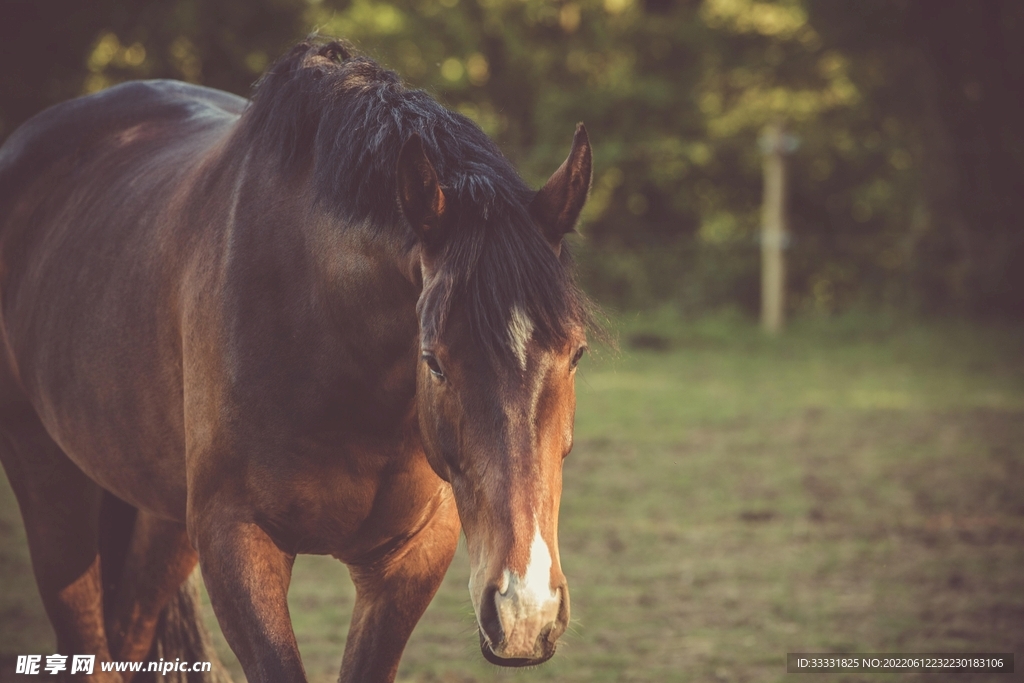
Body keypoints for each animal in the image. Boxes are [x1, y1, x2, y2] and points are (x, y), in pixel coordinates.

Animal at [0, 38, 593, 683]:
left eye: (576, 353)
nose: (524, 611)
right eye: (433, 360)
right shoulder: (237, 545)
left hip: (162, 520)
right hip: (51, 484)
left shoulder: (410, 558)